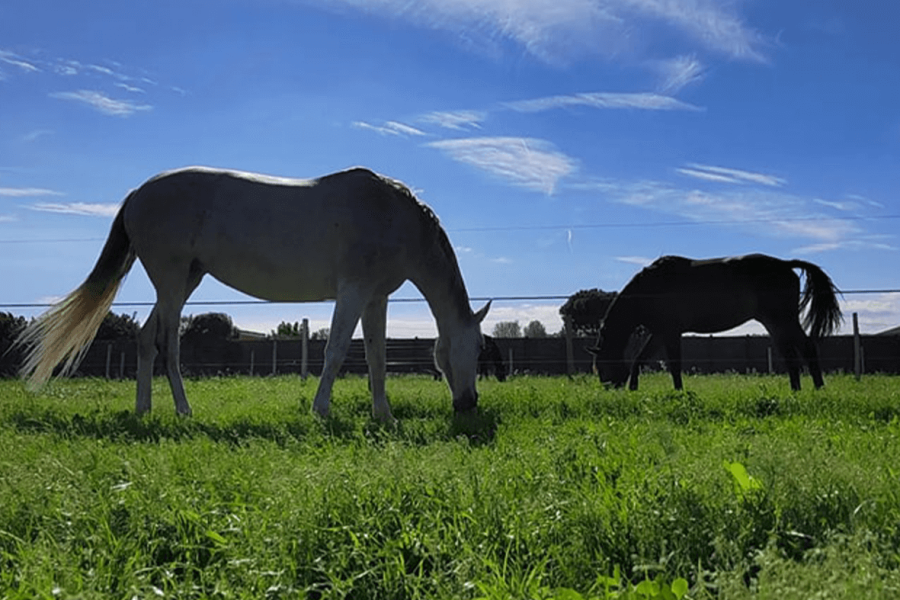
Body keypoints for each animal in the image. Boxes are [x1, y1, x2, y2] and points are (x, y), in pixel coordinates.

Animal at [15, 166, 492, 422]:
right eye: (476, 348)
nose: (469, 404)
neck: (393, 215)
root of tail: (138, 193)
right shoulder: (353, 291)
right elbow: (337, 351)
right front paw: (321, 410)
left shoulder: (375, 298)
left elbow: (376, 357)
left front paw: (384, 416)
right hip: (172, 281)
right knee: (167, 344)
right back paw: (183, 411)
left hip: (184, 280)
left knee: (145, 339)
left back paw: (143, 410)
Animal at [592, 254, 844, 392]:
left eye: (601, 366)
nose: (609, 387)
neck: (650, 289)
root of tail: (785, 264)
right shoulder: (659, 333)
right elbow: (639, 359)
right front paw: (634, 388)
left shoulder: (671, 333)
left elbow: (674, 365)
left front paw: (678, 392)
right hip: (776, 324)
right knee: (791, 355)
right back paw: (797, 390)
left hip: (783, 320)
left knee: (805, 349)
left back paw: (817, 388)